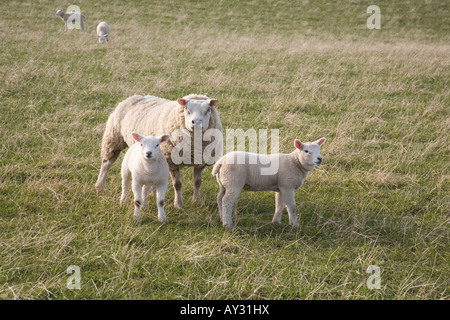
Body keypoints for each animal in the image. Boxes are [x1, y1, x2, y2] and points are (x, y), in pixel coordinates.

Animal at [95, 94, 223, 210]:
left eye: (208, 110)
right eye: (187, 109)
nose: (196, 122)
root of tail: (138, 96)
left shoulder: (200, 162)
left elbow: (197, 182)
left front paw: (196, 200)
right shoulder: (171, 162)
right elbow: (177, 184)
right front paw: (179, 205)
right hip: (114, 138)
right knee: (106, 163)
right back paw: (99, 186)